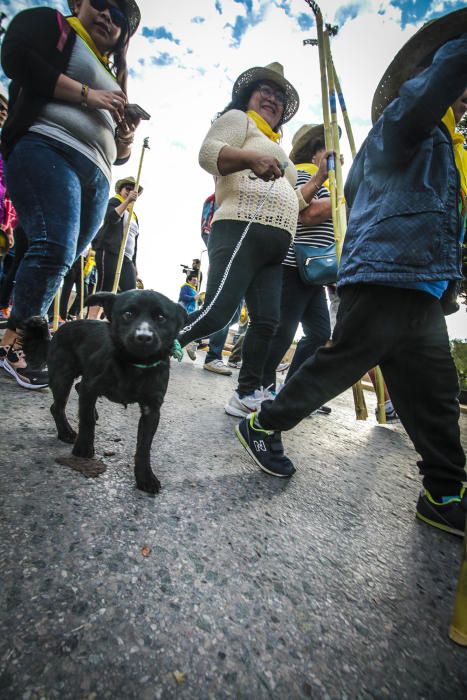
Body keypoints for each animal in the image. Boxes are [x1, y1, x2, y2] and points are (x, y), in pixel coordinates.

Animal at [48, 288, 186, 492]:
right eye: (128, 314)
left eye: (161, 317)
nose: (143, 337)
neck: (134, 364)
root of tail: (66, 324)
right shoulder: (91, 387)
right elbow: (86, 421)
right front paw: (83, 448)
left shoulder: (151, 410)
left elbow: (144, 446)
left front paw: (145, 476)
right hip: (62, 377)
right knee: (57, 407)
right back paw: (66, 432)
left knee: (77, 390)